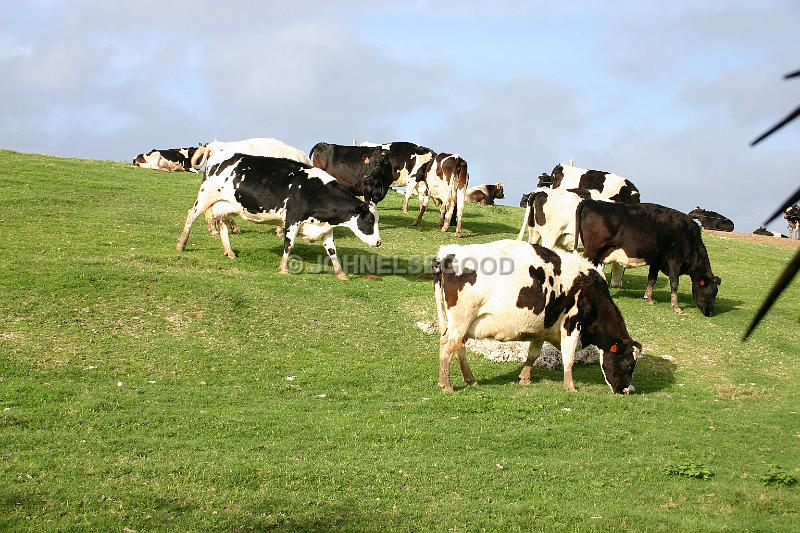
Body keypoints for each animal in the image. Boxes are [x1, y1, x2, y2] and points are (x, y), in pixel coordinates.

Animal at [176, 152, 388, 280]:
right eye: (370, 220)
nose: (378, 242)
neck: (315, 191)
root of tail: (219, 153)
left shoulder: (324, 227)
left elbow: (332, 250)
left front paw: (341, 274)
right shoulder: (292, 219)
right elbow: (289, 244)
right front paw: (284, 268)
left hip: (227, 206)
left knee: (223, 226)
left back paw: (229, 252)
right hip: (206, 196)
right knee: (191, 215)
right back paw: (181, 244)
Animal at [432, 239, 644, 392]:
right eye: (628, 365)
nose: (629, 390)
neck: (589, 290)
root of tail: (449, 252)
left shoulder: (542, 327)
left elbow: (533, 354)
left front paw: (525, 378)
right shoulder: (571, 324)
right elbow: (569, 357)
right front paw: (570, 386)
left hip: (461, 324)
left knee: (457, 346)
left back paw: (470, 379)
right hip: (461, 319)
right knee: (448, 346)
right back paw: (446, 385)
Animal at [572, 201, 720, 316]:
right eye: (711, 294)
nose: (710, 313)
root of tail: (592, 202)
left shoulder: (657, 261)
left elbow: (652, 279)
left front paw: (648, 298)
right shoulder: (675, 261)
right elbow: (674, 283)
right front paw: (676, 307)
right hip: (592, 251)